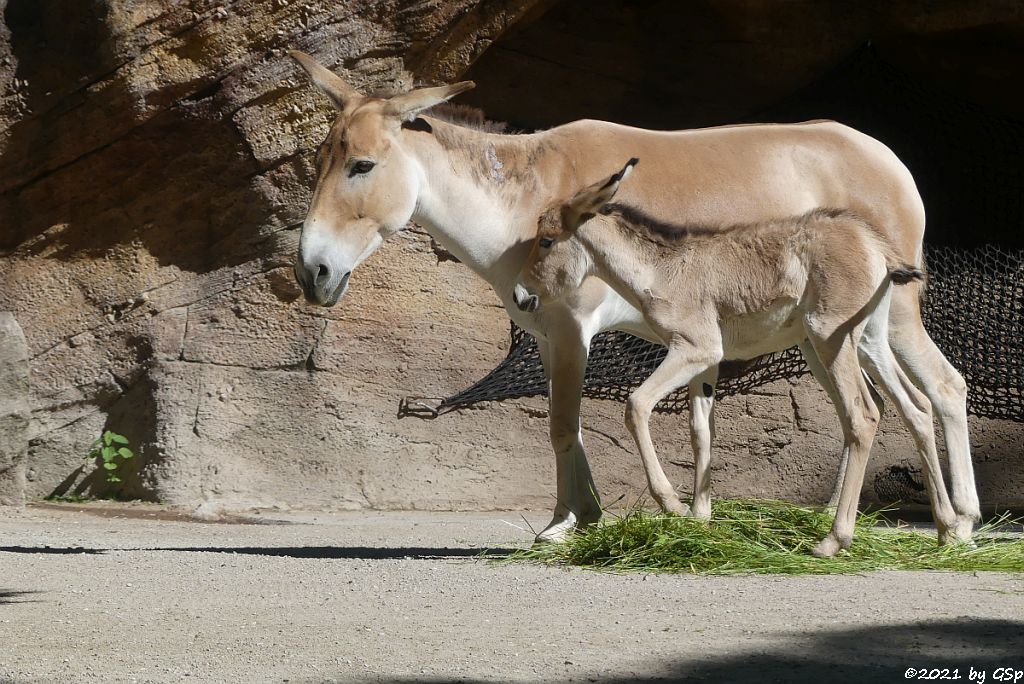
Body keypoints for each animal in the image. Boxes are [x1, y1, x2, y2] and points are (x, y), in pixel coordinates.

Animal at [520, 160, 958, 557]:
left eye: (547, 239)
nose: (523, 298)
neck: (662, 271)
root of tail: (873, 244)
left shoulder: (693, 348)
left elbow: (636, 405)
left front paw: (673, 506)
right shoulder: (706, 363)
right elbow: (701, 430)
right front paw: (700, 518)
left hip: (831, 338)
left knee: (863, 414)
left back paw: (834, 540)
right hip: (869, 340)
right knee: (917, 407)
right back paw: (947, 532)